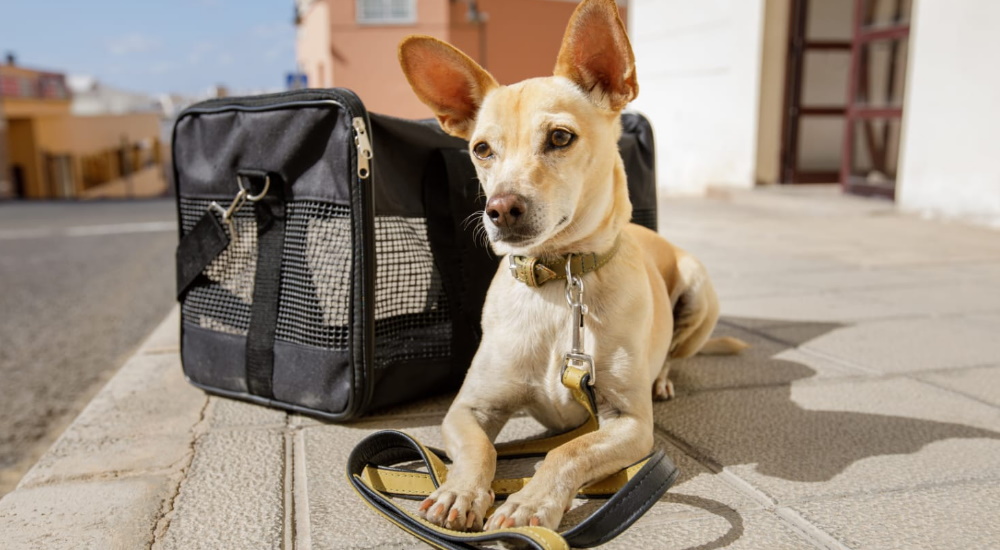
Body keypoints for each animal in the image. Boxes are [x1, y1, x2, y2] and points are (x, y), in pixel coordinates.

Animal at [394, 0, 748, 536]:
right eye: (481, 149)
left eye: (560, 137)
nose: (500, 209)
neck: (559, 281)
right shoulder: (466, 409)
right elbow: (478, 450)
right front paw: (459, 490)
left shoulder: (630, 422)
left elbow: (568, 451)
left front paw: (529, 503)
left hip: (698, 290)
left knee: (673, 354)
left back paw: (663, 377)